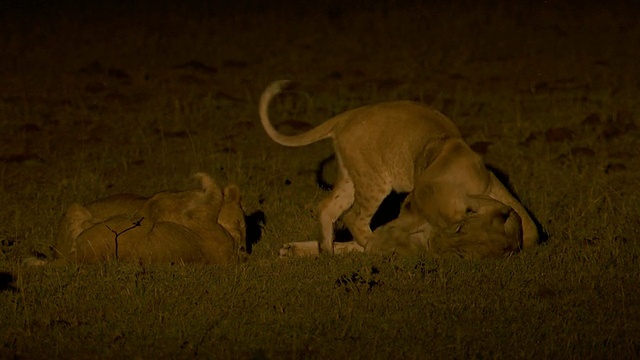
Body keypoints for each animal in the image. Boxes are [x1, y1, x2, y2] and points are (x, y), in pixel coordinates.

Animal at [260, 80, 540, 258]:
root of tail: (348, 116)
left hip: (354, 175)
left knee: (327, 208)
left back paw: (327, 251)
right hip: (374, 181)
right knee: (354, 218)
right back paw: (367, 246)